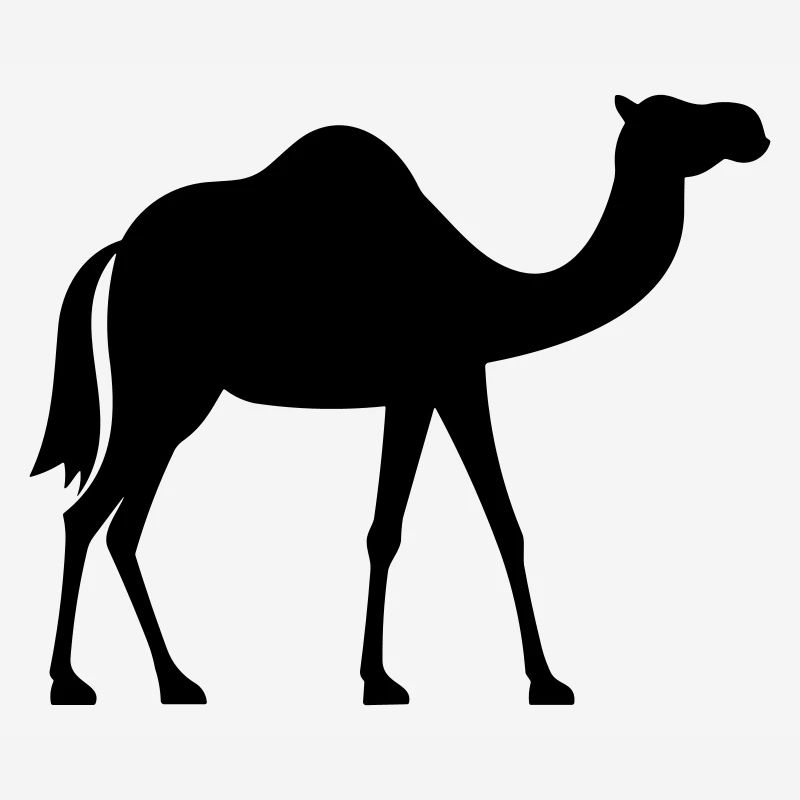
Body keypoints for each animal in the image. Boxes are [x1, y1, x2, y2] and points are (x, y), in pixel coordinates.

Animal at [32, 94, 769, 706]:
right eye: (676, 117)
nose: (751, 124)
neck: (494, 292)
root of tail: (122, 247)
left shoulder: (441, 382)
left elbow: (481, 525)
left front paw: (525, 678)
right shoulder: (439, 378)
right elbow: (408, 529)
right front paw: (397, 682)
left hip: (172, 400)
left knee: (115, 527)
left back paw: (169, 682)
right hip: (165, 389)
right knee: (91, 516)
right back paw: (78, 683)